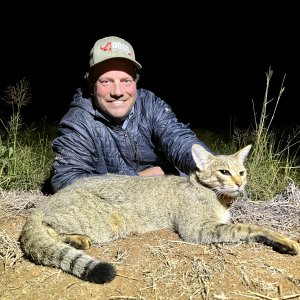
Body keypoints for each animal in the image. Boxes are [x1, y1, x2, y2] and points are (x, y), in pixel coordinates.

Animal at [19, 143, 298, 284]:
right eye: (224, 172)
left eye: (242, 172)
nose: (240, 184)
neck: (214, 195)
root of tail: (42, 205)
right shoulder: (198, 229)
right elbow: (249, 227)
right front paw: (284, 240)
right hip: (101, 222)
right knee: (48, 230)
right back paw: (77, 239)